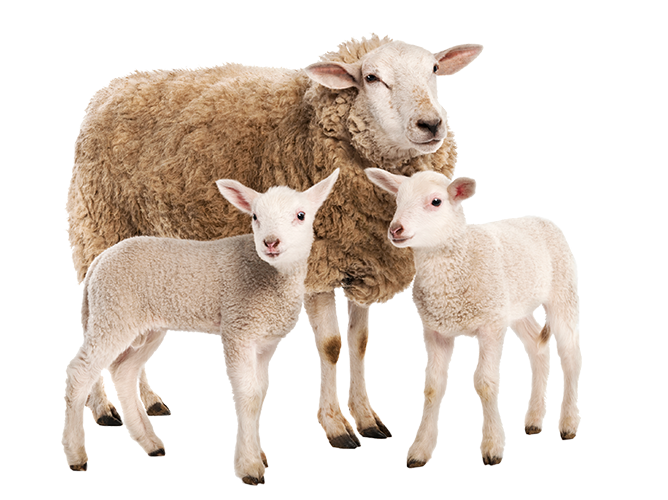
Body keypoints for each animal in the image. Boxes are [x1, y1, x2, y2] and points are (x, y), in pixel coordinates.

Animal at [62, 170, 339, 485]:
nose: (270, 242)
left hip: (143, 325)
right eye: (255, 216)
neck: (271, 277)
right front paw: (249, 466)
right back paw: (76, 456)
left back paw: (151, 443)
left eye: (301, 215)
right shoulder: (238, 328)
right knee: (80, 373)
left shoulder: (265, 341)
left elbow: (260, 394)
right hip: (113, 312)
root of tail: (100, 260)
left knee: (124, 371)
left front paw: (259, 455)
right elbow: (248, 395)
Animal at [67, 35, 483, 447]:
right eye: (371, 77)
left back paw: (148, 401)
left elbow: (360, 342)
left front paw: (366, 418)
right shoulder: (318, 266)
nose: (431, 124)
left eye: (434, 69)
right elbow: (331, 346)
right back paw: (104, 408)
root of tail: (114, 88)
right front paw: (336, 426)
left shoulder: (360, 258)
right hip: (100, 231)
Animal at [365, 168, 580, 468]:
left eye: (436, 202)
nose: (395, 229)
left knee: (570, 353)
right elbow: (432, 388)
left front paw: (492, 446)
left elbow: (484, 383)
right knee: (538, 349)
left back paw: (569, 423)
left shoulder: (490, 325)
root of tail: (540, 219)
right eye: (397, 200)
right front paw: (419, 450)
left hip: (561, 292)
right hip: (514, 307)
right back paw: (534, 420)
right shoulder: (436, 330)